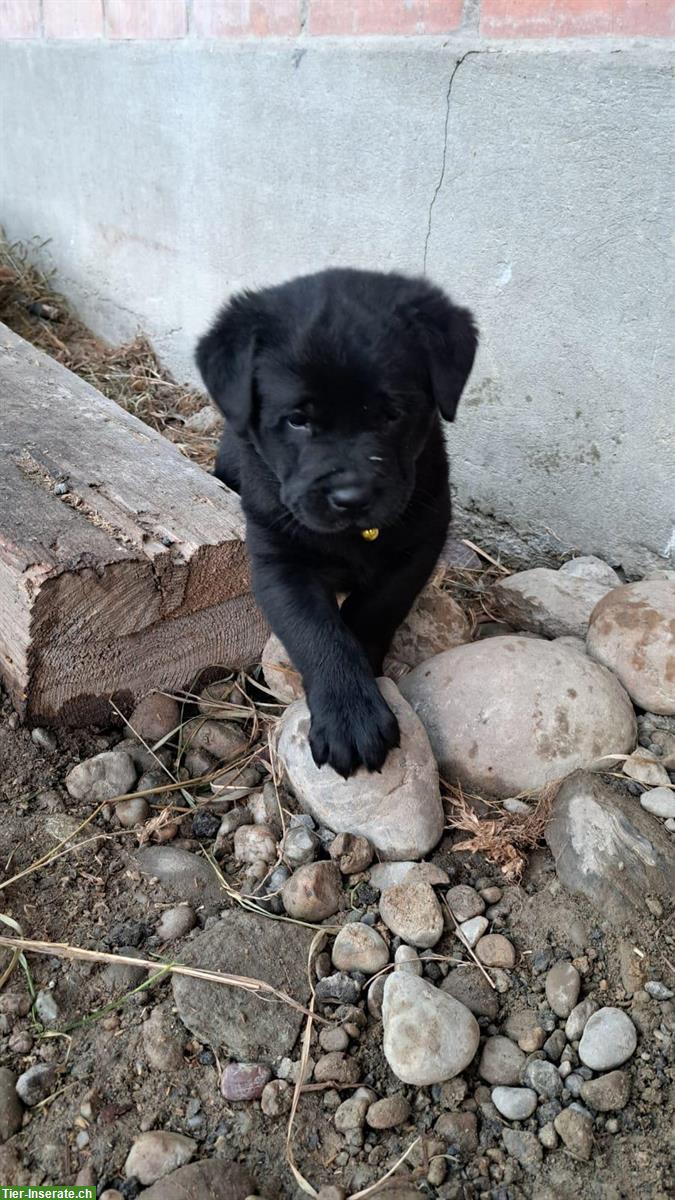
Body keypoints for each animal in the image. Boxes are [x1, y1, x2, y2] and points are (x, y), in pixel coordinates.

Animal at [196, 267, 475, 777]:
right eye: (297, 420)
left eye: (391, 413)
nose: (352, 497)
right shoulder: (278, 560)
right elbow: (317, 632)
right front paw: (350, 715)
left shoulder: (420, 543)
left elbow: (374, 610)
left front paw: (366, 673)